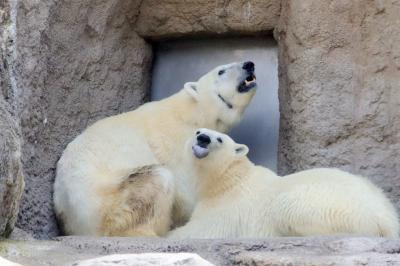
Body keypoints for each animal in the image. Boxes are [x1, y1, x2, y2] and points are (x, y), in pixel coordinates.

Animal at [53, 62, 258, 237]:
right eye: (221, 71)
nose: (249, 64)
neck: (194, 113)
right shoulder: (178, 142)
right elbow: (187, 187)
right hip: (110, 201)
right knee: (158, 179)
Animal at [170, 128, 400, 238]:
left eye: (220, 139)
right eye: (198, 131)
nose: (203, 138)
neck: (229, 178)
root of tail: (386, 217)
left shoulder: (228, 206)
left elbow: (201, 230)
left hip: (332, 205)